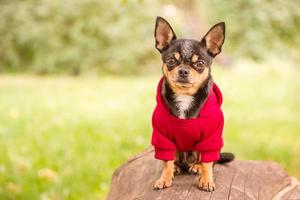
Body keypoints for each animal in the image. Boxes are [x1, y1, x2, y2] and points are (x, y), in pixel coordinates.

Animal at [152, 16, 234, 191]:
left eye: (200, 63)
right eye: (171, 60)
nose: (183, 70)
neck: (184, 96)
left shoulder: (211, 138)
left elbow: (208, 163)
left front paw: (207, 180)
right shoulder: (162, 138)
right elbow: (166, 161)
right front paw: (164, 178)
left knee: (208, 160)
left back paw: (197, 167)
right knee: (174, 159)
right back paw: (177, 168)